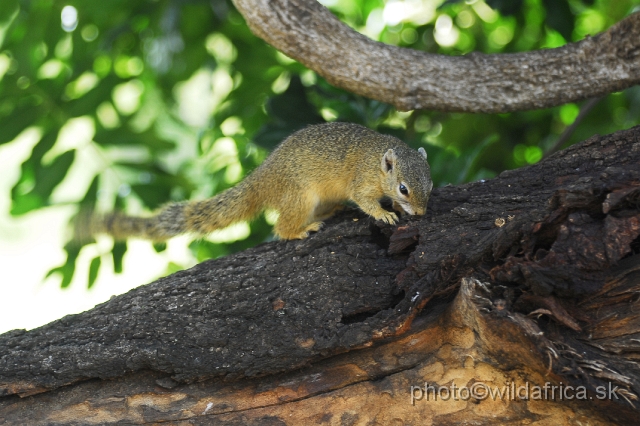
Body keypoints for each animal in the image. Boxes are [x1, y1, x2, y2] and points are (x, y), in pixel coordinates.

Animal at [80, 121, 430, 241]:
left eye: (429, 186)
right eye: (403, 189)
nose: (421, 214)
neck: (379, 162)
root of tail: (261, 180)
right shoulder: (362, 181)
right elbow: (366, 201)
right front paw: (384, 213)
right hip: (298, 195)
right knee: (281, 227)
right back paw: (301, 229)